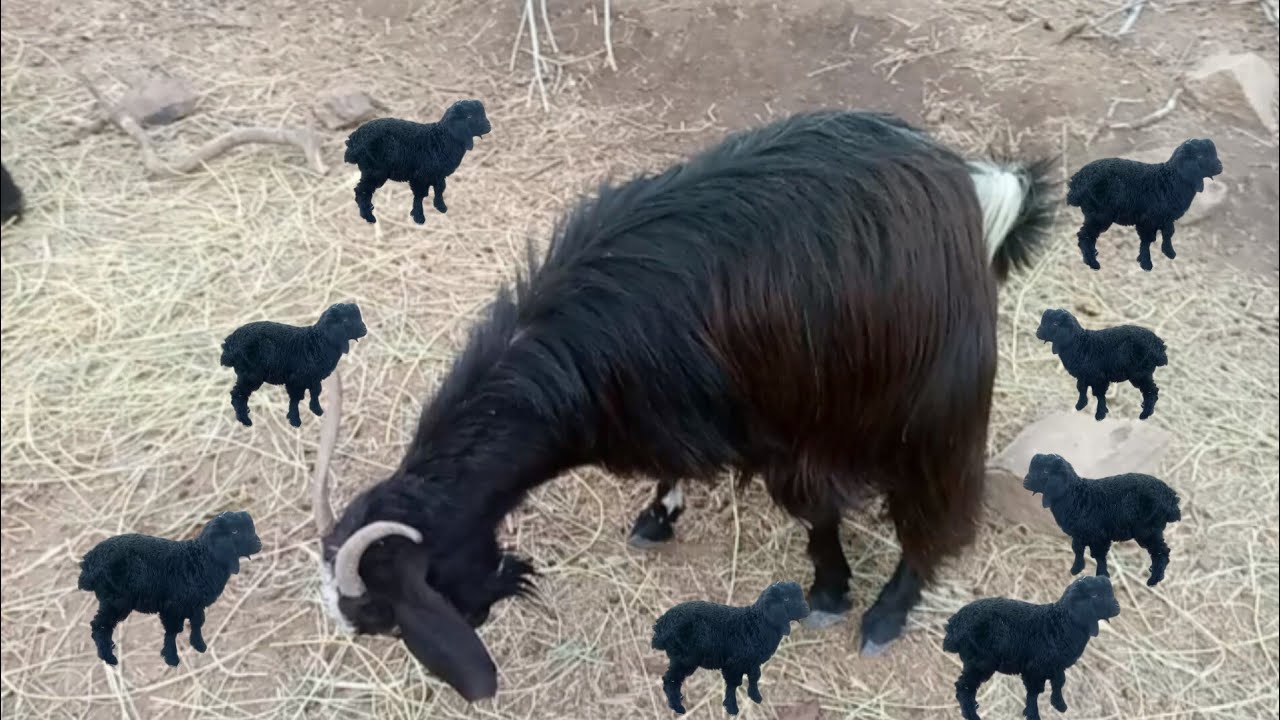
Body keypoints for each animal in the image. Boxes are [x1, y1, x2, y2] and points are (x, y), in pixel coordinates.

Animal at [308, 110, 1057, 701]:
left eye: (380, 615)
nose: (482, 618)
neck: (577, 355)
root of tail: (962, 183)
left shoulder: (779, 430)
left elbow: (815, 514)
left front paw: (829, 594)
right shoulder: (674, 414)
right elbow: (677, 473)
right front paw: (658, 517)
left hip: (933, 400)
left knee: (937, 504)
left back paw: (887, 616)